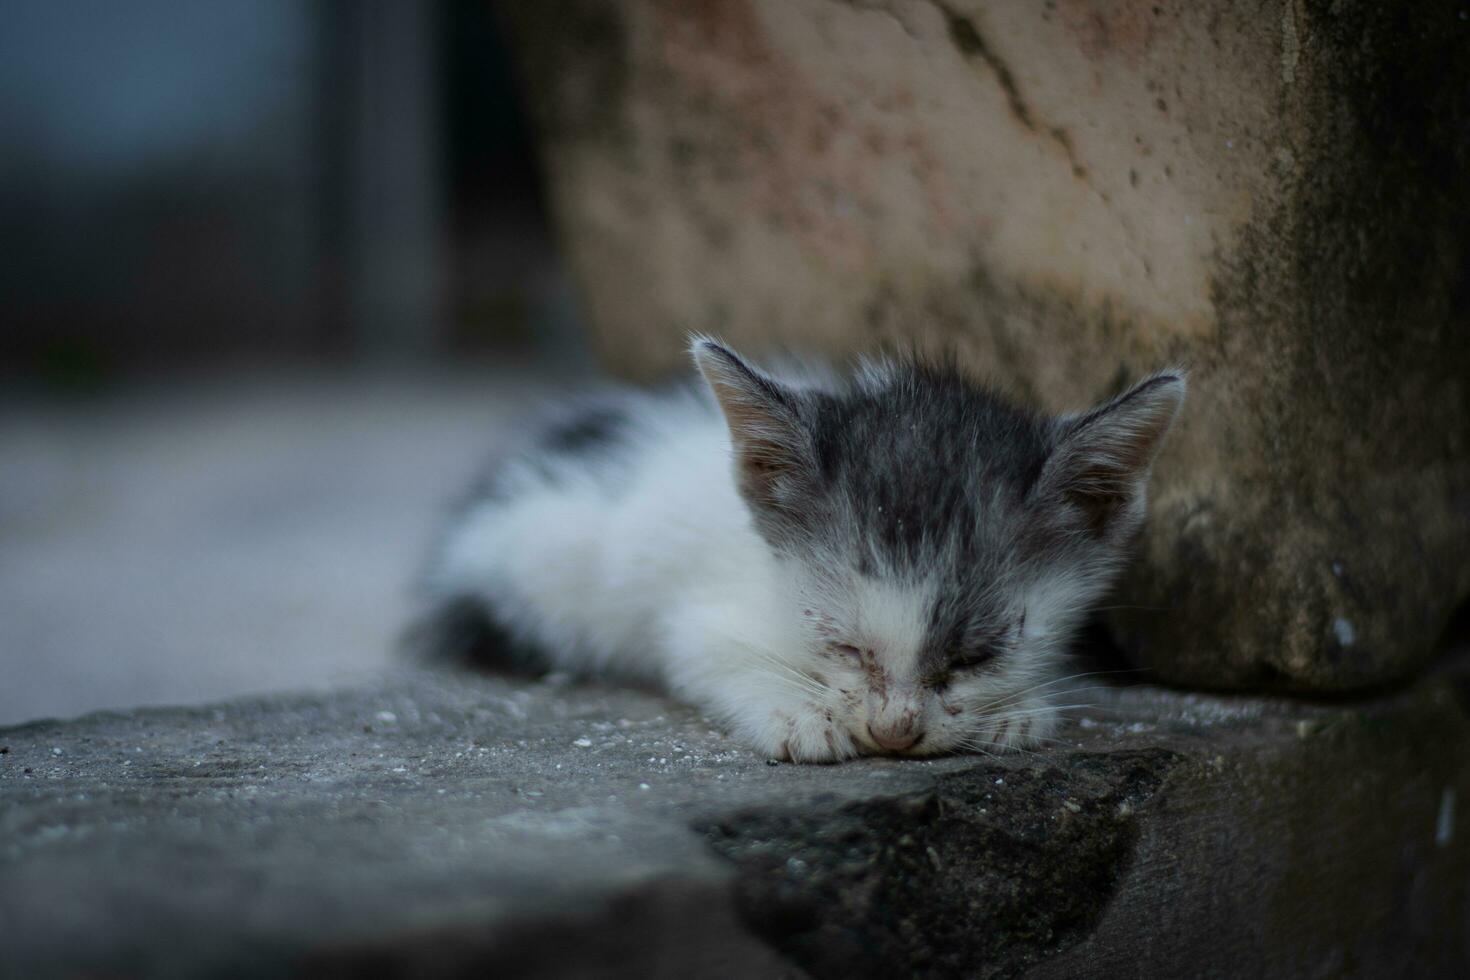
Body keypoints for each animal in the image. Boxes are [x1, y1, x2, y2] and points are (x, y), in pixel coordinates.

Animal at [414, 339, 1181, 764]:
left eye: (976, 656)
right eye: (842, 644)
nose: (895, 731)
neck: (769, 564)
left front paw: (1018, 708)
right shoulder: (698, 617)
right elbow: (706, 653)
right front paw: (796, 712)